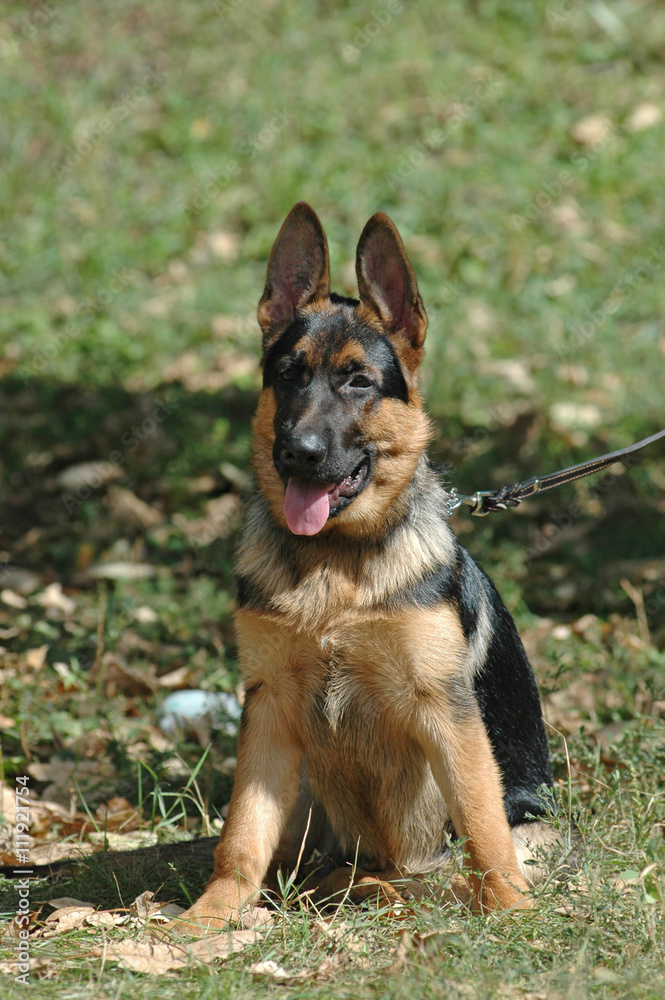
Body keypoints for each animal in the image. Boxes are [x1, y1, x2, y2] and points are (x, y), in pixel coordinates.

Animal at [179, 203, 552, 928]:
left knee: (446, 864)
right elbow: (240, 834)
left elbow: (483, 826)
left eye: (358, 382)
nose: (298, 452)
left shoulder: (444, 710)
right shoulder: (269, 707)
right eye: (288, 375)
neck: (336, 563)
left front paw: (514, 913)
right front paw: (208, 919)